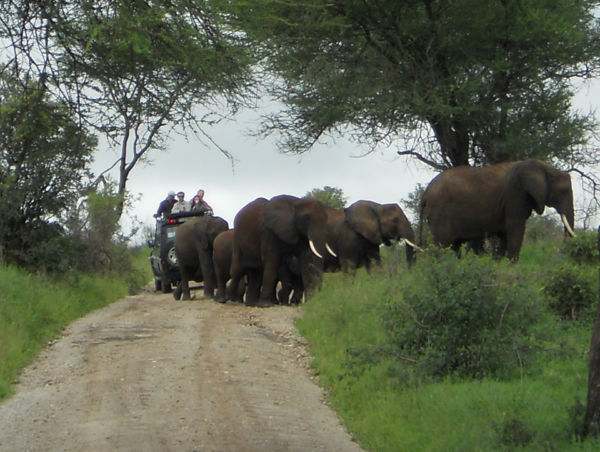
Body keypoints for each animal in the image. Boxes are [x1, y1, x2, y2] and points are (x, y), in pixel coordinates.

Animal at [420, 158, 576, 262]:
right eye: (563, 191)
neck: (544, 167)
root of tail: (425, 193)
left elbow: (504, 234)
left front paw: (497, 263)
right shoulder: (515, 194)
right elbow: (515, 229)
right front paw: (512, 266)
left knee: (454, 246)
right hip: (440, 213)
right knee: (443, 246)